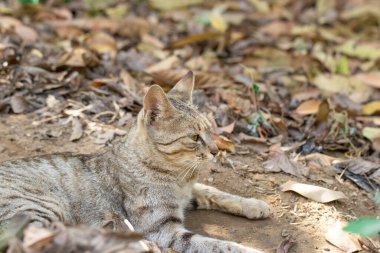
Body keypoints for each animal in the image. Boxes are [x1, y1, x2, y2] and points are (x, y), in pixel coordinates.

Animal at [1, 71, 272, 253]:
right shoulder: (163, 230)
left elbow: (216, 193)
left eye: (210, 130)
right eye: (195, 138)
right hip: (41, 210)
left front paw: (255, 204)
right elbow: (216, 244)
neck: (177, 177)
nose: (216, 151)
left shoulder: (189, 194)